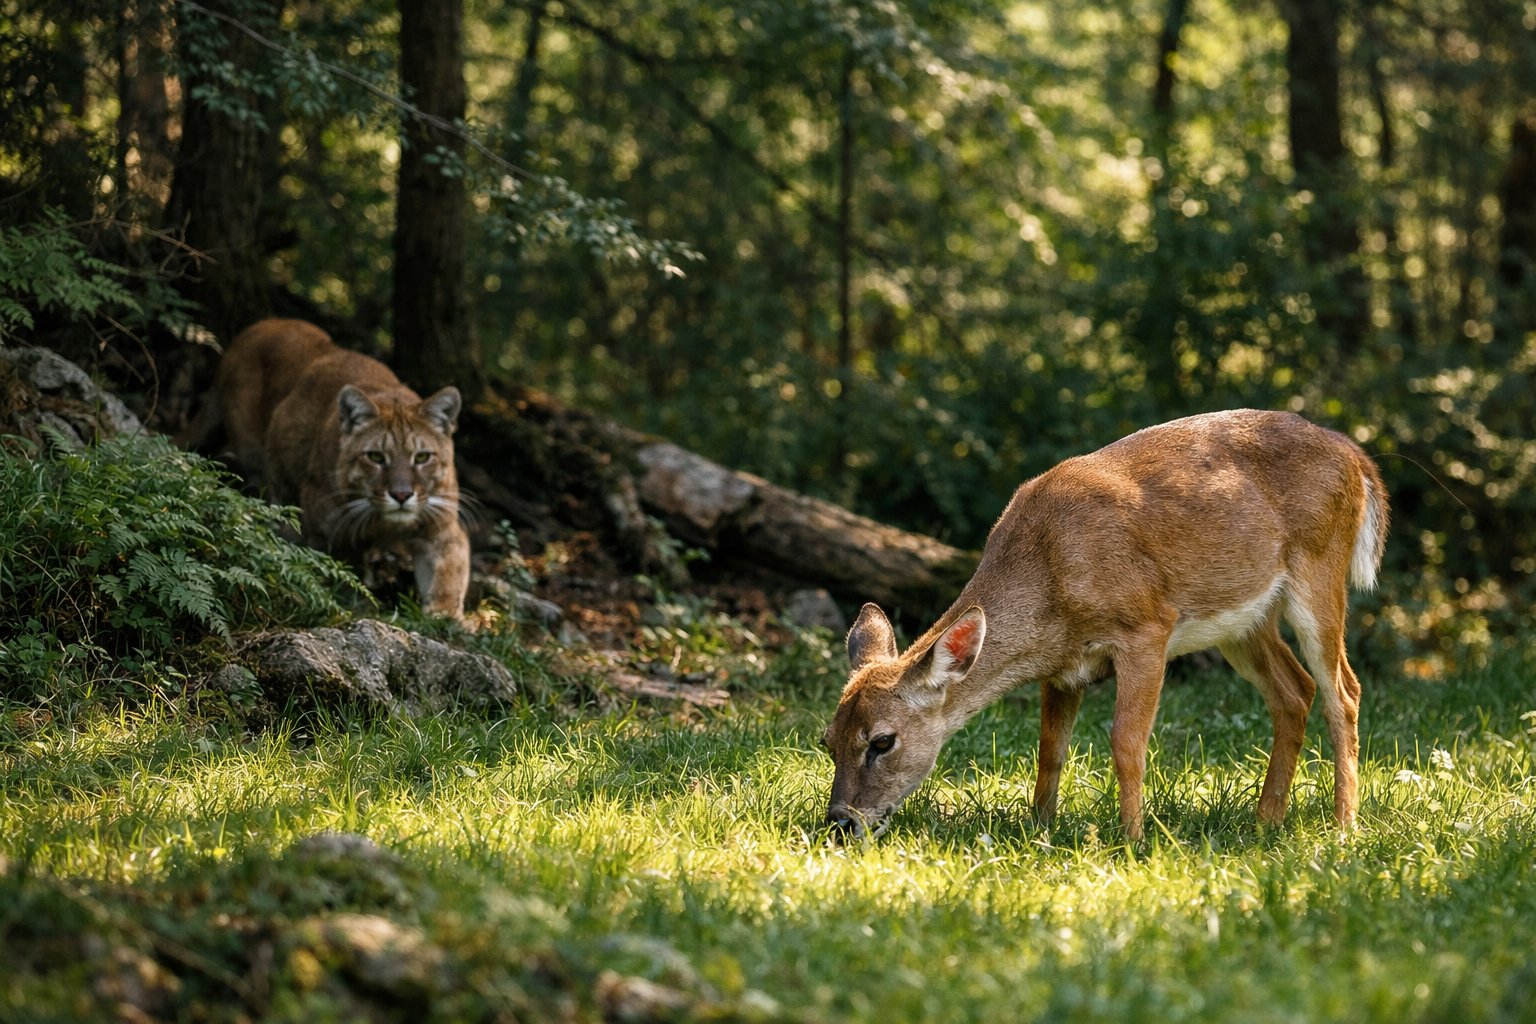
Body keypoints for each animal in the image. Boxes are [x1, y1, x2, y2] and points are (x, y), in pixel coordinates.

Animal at [821, 409, 1389, 841]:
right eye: (827, 740)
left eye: (882, 741)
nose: (840, 823)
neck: (1050, 578)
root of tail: (1356, 456)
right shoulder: (1062, 667)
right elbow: (1050, 751)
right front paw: (1040, 829)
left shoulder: (1146, 625)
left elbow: (1126, 742)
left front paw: (1133, 839)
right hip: (1244, 621)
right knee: (1294, 690)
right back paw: (1265, 821)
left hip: (1319, 570)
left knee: (1344, 690)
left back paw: (1344, 826)